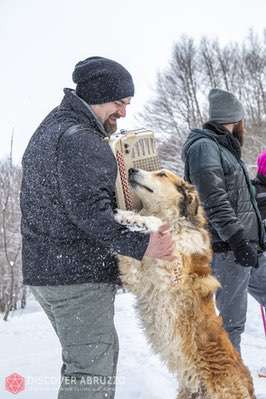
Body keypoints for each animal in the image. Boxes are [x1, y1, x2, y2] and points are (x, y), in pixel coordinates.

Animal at [115, 168, 256, 399]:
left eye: (162, 174)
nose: (132, 169)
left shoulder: (174, 273)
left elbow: (163, 227)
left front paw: (141, 219)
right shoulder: (137, 278)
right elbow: (129, 260)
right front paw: (127, 216)